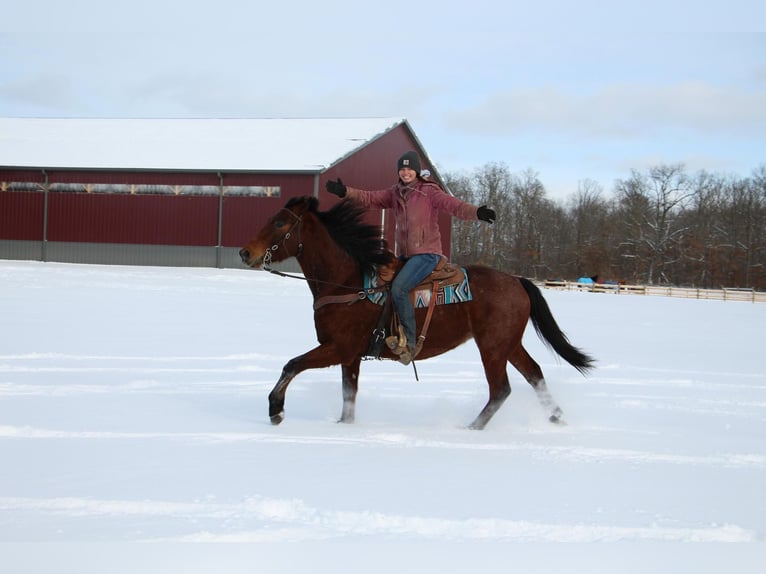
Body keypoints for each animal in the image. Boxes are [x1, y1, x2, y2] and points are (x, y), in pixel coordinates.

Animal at [238, 196, 592, 430]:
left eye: (280, 222)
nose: (245, 252)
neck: (347, 281)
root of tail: (517, 280)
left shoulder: (338, 348)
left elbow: (292, 364)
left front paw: (275, 408)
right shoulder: (350, 357)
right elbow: (348, 396)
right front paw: (345, 425)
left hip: (492, 346)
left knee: (501, 389)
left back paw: (471, 429)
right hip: (509, 344)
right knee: (534, 374)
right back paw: (556, 417)